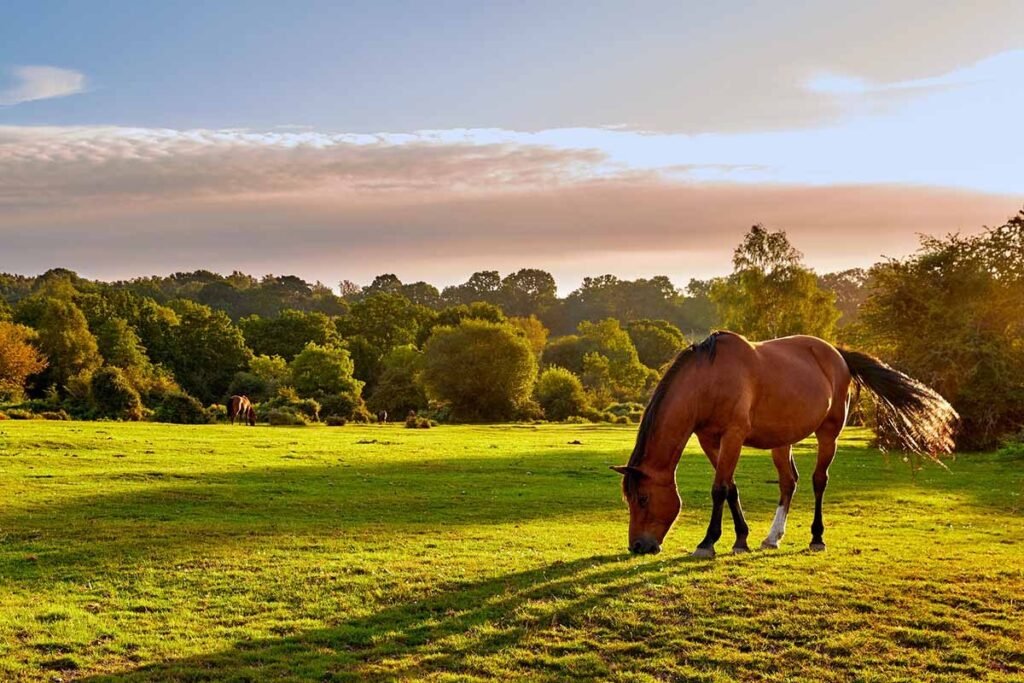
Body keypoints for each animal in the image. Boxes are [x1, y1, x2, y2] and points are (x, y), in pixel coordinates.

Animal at [612, 331, 957, 557]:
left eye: (643, 498)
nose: (638, 546)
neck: (709, 379)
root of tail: (837, 354)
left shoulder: (733, 436)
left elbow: (719, 489)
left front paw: (708, 543)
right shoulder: (710, 439)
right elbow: (731, 487)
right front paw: (741, 540)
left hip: (828, 434)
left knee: (819, 480)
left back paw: (817, 538)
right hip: (782, 441)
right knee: (788, 482)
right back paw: (773, 537)